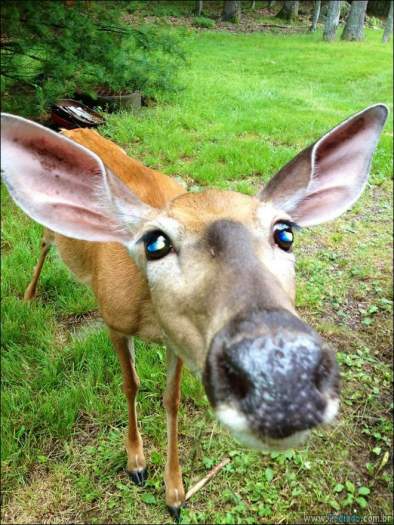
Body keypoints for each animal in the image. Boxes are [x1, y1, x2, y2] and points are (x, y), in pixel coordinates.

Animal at [0, 104, 388, 516]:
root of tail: (72, 129)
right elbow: (131, 383)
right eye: (155, 243)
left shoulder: (178, 339)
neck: (148, 317)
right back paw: (28, 295)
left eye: (285, 233)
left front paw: (175, 492)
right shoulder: (113, 321)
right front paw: (136, 463)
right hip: (48, 232)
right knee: (43, 242)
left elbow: (171, 400)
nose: (283, 377)